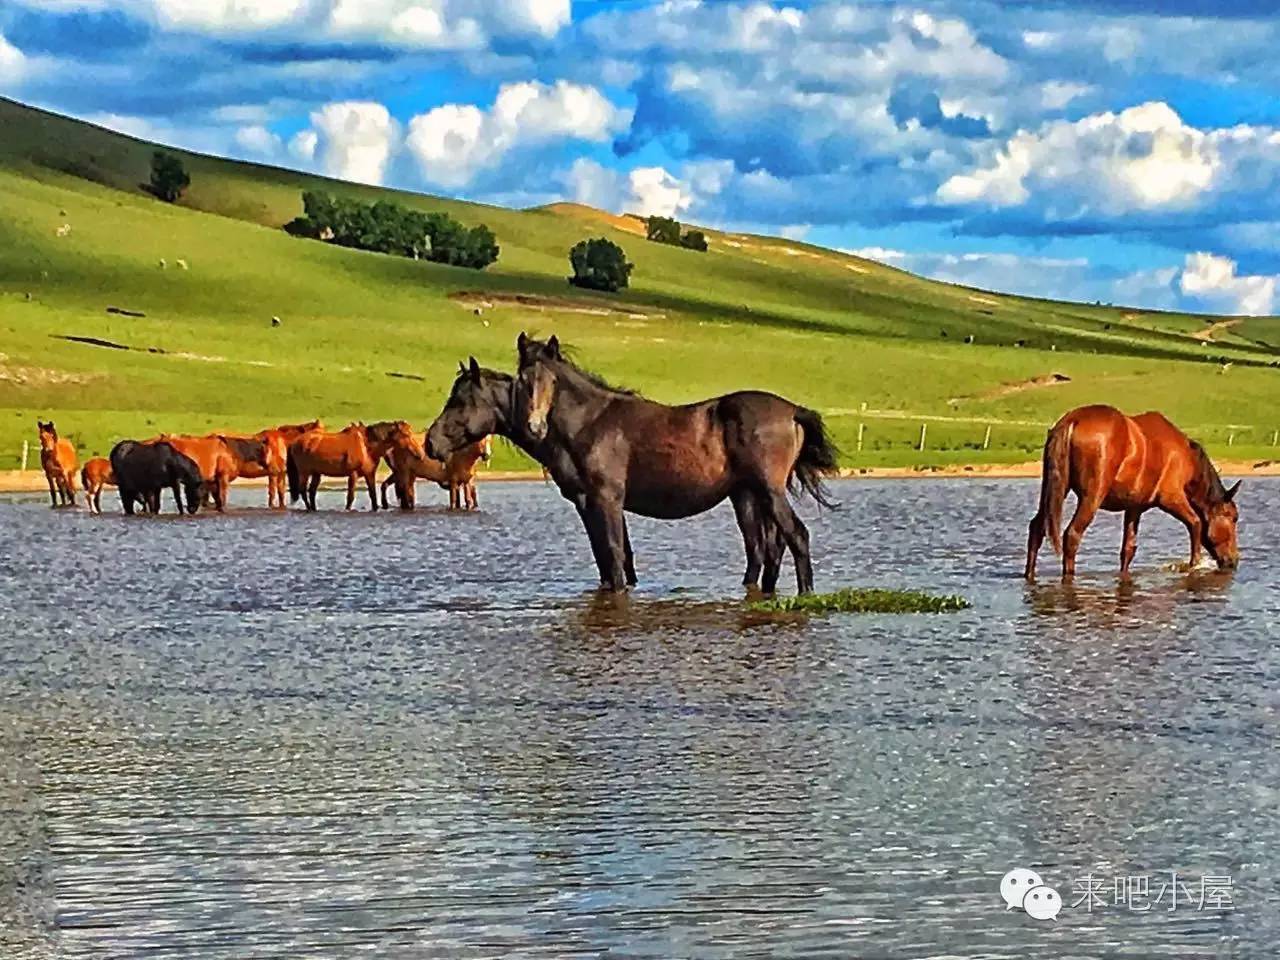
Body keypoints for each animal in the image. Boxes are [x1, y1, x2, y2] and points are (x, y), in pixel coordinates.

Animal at [286, 419, 422, 512]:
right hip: (304, 472)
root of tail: (295, 442)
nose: (419, 454)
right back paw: (309, 508)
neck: (366, 446)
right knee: (303, 490)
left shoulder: (369, 474)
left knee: (311, 491)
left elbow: (373, 495)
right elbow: (350, 496)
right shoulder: (353, 474)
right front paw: (347, 509)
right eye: (406, 434)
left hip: (316, 473)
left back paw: (314, 509)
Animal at [427, 337, 839, 593]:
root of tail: (791, 410)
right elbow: (614, 558)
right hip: (748, 497)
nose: (431, 443)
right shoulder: (590, 503)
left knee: (795, 537)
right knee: (765, 549)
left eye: (460, 400)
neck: (589, 423)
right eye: (524, 382)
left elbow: (612, 555)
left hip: (768, 491)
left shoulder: (605, 499)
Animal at [1018, 404, 1239, 583]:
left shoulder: (1135, 507)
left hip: (1056, 489)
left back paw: (1029, 575)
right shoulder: (1171, 498)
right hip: (1091, 497)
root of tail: (1072, 421)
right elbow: (1196, 524)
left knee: (1037, 527)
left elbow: (1128, 549)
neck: (1186, 458)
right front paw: (1195, 565)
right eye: (1233, 518)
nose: (1234, 560)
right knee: (1072, 535)